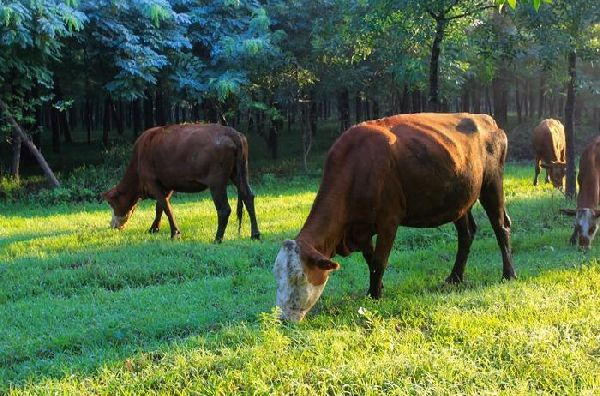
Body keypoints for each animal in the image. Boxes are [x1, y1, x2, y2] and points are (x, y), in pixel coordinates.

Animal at [102, 123, 260, 241]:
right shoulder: (167, 184)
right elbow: (160, 207)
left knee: (224, 209)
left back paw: (218, 238)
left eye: (110, 203)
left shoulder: (152, 182)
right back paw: (255, 234)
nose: (111, 225)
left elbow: (166, 207)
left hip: (217, 182)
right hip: (240, 174)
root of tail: (232, 132)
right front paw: (154, 228)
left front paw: (174, 233)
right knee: (248, 197)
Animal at [274, 112, 516, 322]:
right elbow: (370, 259)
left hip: (492, 183)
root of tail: (486, 119)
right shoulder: (361, 229)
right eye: (276, 276)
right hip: (460, 198)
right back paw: (455, 278)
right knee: (466, 234)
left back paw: (509, 275)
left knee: (500, 227)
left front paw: (374, 297)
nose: (284, 318)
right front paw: (377, 289)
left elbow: (378, 261)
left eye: (300, 276)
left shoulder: (388, 220)